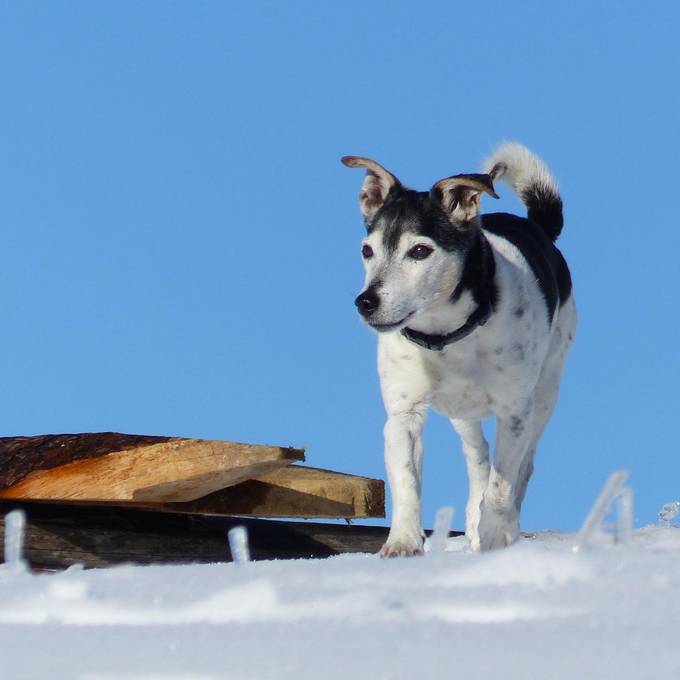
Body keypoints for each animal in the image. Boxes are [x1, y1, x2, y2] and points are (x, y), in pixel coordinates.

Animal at [342, 142, 576, 552]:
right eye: (367, 251)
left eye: (420, 251)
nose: (365, 302)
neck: (448, 336)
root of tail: (537, 228)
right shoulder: (403, 414)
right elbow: (407, 480)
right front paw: (403, 543)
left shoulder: (514, 414)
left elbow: (502, 485)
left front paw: (496, 537)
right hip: (461, 412)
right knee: (477, 454)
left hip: (546, 391)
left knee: (522, 468)